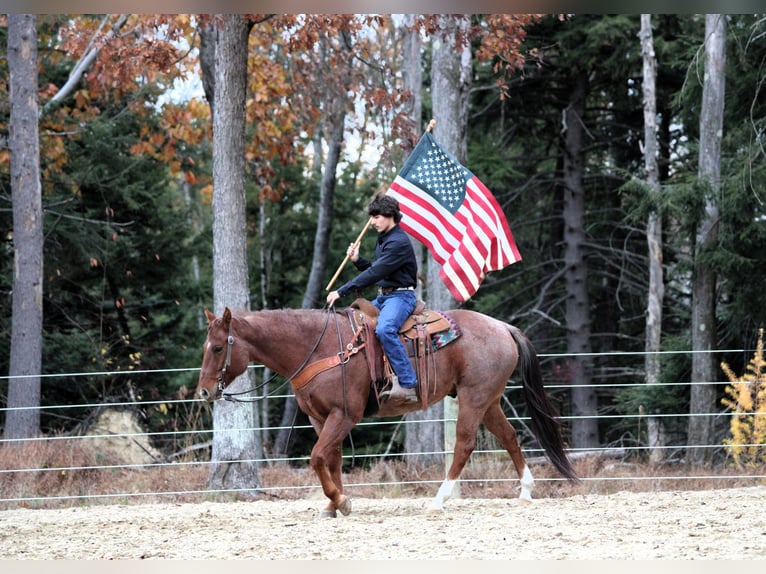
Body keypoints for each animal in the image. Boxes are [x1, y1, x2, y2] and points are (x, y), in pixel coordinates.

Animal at [196, 304, 578, 517]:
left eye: (217, 347)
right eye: (206, 345)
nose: (203, 391)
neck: (319, 347)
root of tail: (503, 327)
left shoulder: (344, 415)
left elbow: (318, 457)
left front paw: (340, 500)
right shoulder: (320, 418)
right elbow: (331, 459)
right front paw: (334, 505)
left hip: (474, 397)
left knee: (465, 444)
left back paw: (439, 499)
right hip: (489, 400)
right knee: (510, 437)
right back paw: (525, 492)